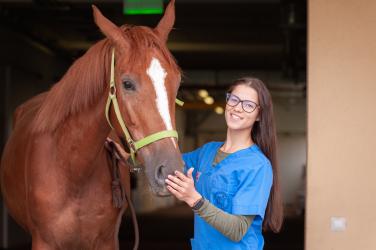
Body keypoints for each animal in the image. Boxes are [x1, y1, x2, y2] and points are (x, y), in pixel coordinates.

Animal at [0, 0, 182, 249]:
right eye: (127, 84)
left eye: (177, 81)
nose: (171, 171)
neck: (71, 168)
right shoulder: (43, 241)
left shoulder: (107, 241)